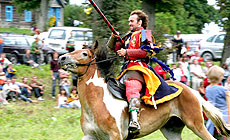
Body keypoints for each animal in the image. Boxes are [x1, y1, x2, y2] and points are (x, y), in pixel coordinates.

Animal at [58, 41, 229, 140]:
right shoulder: (90, 136)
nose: (61, 58)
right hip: (171, 130)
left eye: (84, 53)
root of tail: (192, 91)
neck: (97, 101)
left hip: (196, 124)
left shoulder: (115, 136)